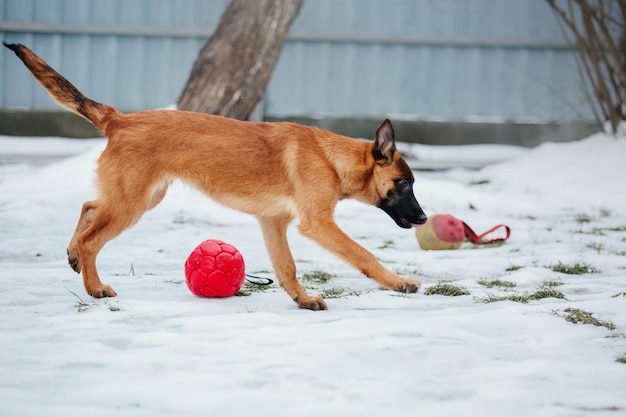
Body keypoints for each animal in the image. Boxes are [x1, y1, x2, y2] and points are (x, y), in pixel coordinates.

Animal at [4, 43, 426, 308]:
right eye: (404, 183)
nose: (424, 218)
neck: (332, 158)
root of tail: (119, 119)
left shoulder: (274, 223)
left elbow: (286, 267)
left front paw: (302, 299)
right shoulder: (318, 223)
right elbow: (363, 253)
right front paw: (399, 282)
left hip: (141, 197)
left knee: (89, 207)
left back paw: (74, 255)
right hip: (132, 204)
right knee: (93, 238)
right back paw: (94, 287)